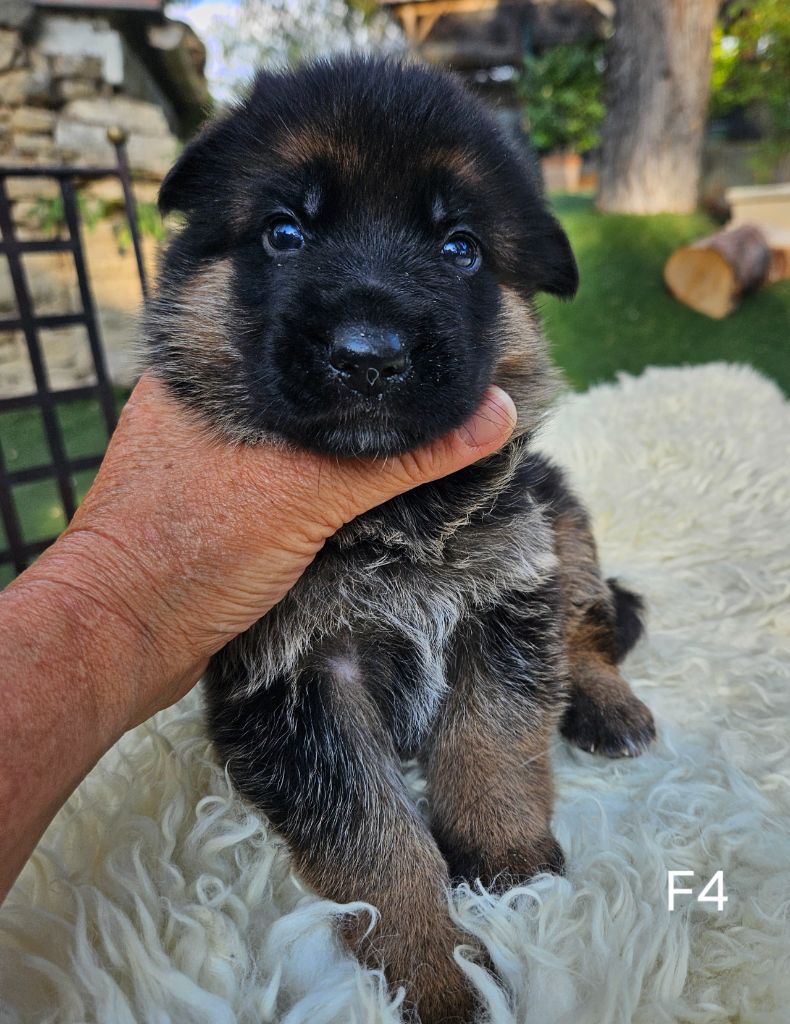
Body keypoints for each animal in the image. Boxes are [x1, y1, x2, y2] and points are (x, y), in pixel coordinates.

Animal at [145, 58, 659, 1024]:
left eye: (460, 247)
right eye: (284, 233)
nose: (368, 356)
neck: (390, 522)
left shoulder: (507, 599)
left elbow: (494, 740)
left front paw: (507, 868)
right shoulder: (299, 683)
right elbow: (372, 838)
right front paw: (434, 967)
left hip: (562, 518)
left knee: (588, 624)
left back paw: (608, 705)